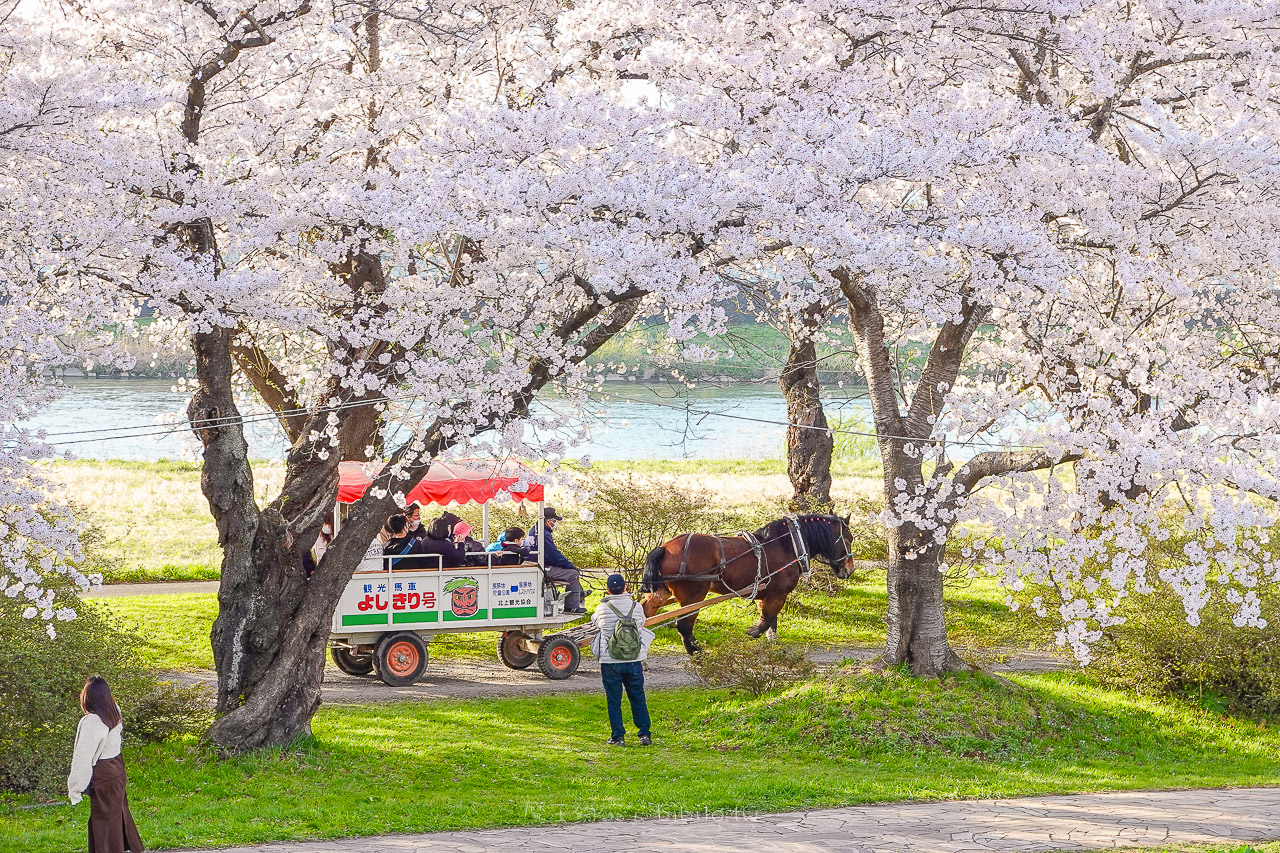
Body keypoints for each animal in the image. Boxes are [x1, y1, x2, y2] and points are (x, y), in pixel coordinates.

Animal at [640, 512, 860, 650]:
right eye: (848, 538)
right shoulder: (778, 594)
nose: (850, 570)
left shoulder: (766, 594)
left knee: (646, 610)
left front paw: (770, 640)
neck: (787, 544)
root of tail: (665, 547)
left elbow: (770, 621)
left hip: (663, 591)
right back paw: (697, 652)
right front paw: (753, 633)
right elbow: (767, 619)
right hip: (694, 596)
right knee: (684, 625)